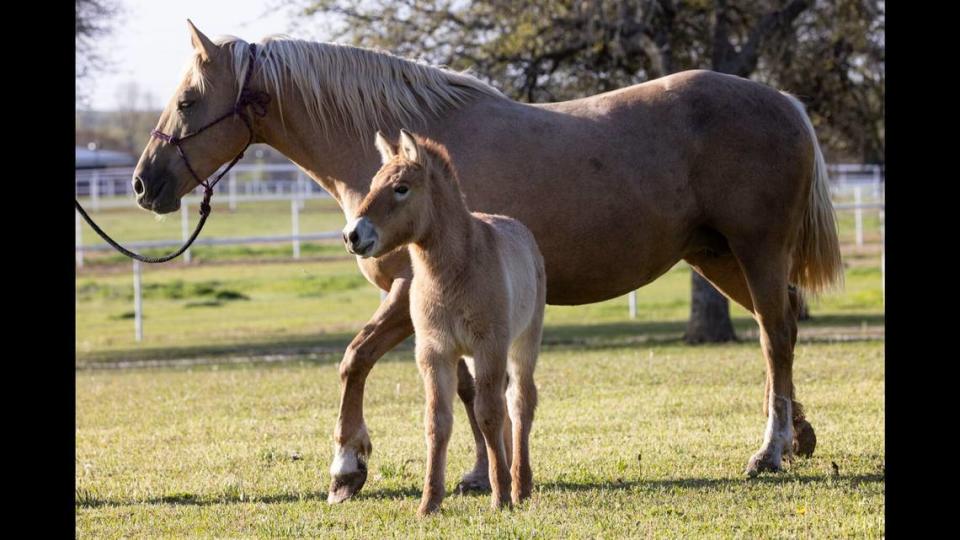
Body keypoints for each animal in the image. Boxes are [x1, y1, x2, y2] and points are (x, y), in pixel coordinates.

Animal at [348, 130, 548, 516]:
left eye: (401, 188)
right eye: (373, 184)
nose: (352, 235)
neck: (453, 272)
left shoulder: (489, 346)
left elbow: (488, 414)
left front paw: (501, 496)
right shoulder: (434, 352)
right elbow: (437, 422)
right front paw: (429, 502)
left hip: (523, 343)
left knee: (519, 401)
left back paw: (521, 484)